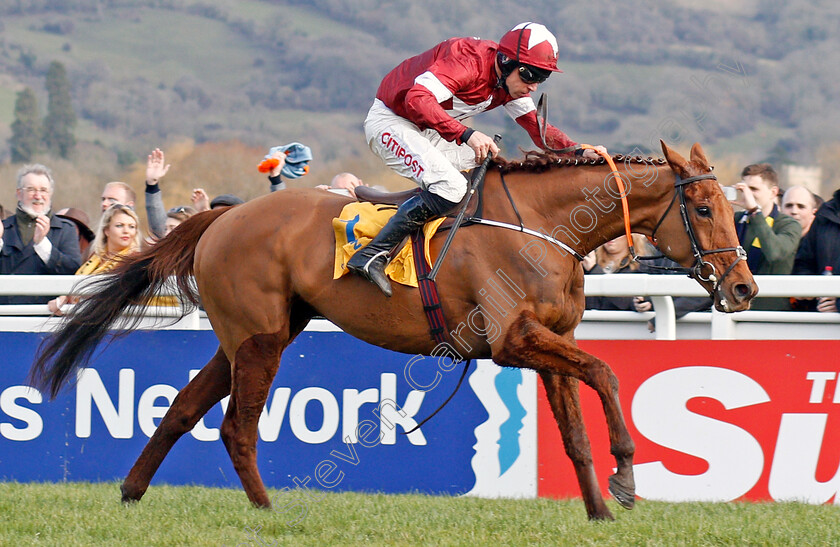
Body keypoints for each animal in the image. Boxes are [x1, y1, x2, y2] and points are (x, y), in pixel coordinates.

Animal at [31, 140, 756, 520]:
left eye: (729, 206)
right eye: (700, 207)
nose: (744, 288)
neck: (545, 226)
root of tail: (224, 216)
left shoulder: (550, 343)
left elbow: (576, 428)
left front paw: (601, 508)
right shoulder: (513, 341)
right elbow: (606, 372)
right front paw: (628, 474)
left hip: (249, 334)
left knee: (182, 408)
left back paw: (131, 492)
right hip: (259, 338)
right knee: (236, 426)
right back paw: (266, 510)